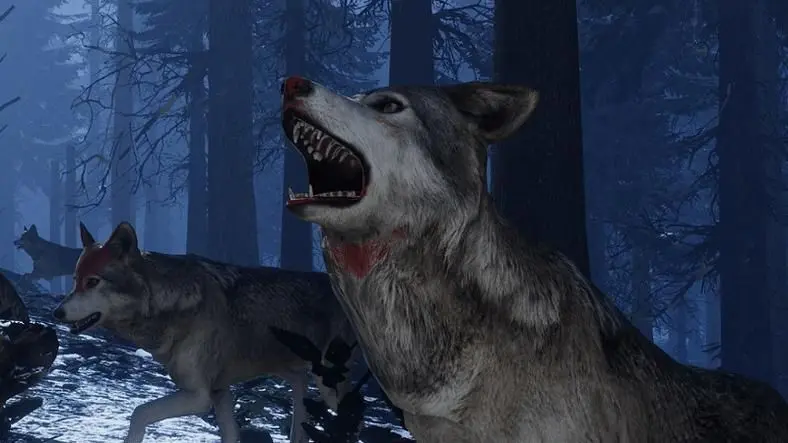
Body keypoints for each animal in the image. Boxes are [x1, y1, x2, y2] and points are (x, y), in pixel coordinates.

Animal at [52, 222, 358, 443]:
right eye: (76, 280)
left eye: (93, 282)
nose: (57, 313)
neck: (171, 306)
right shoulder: (220, 393)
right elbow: (230, 436)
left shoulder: (199, 396)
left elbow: (139, 412)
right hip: (292, 376)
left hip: (329, 385)